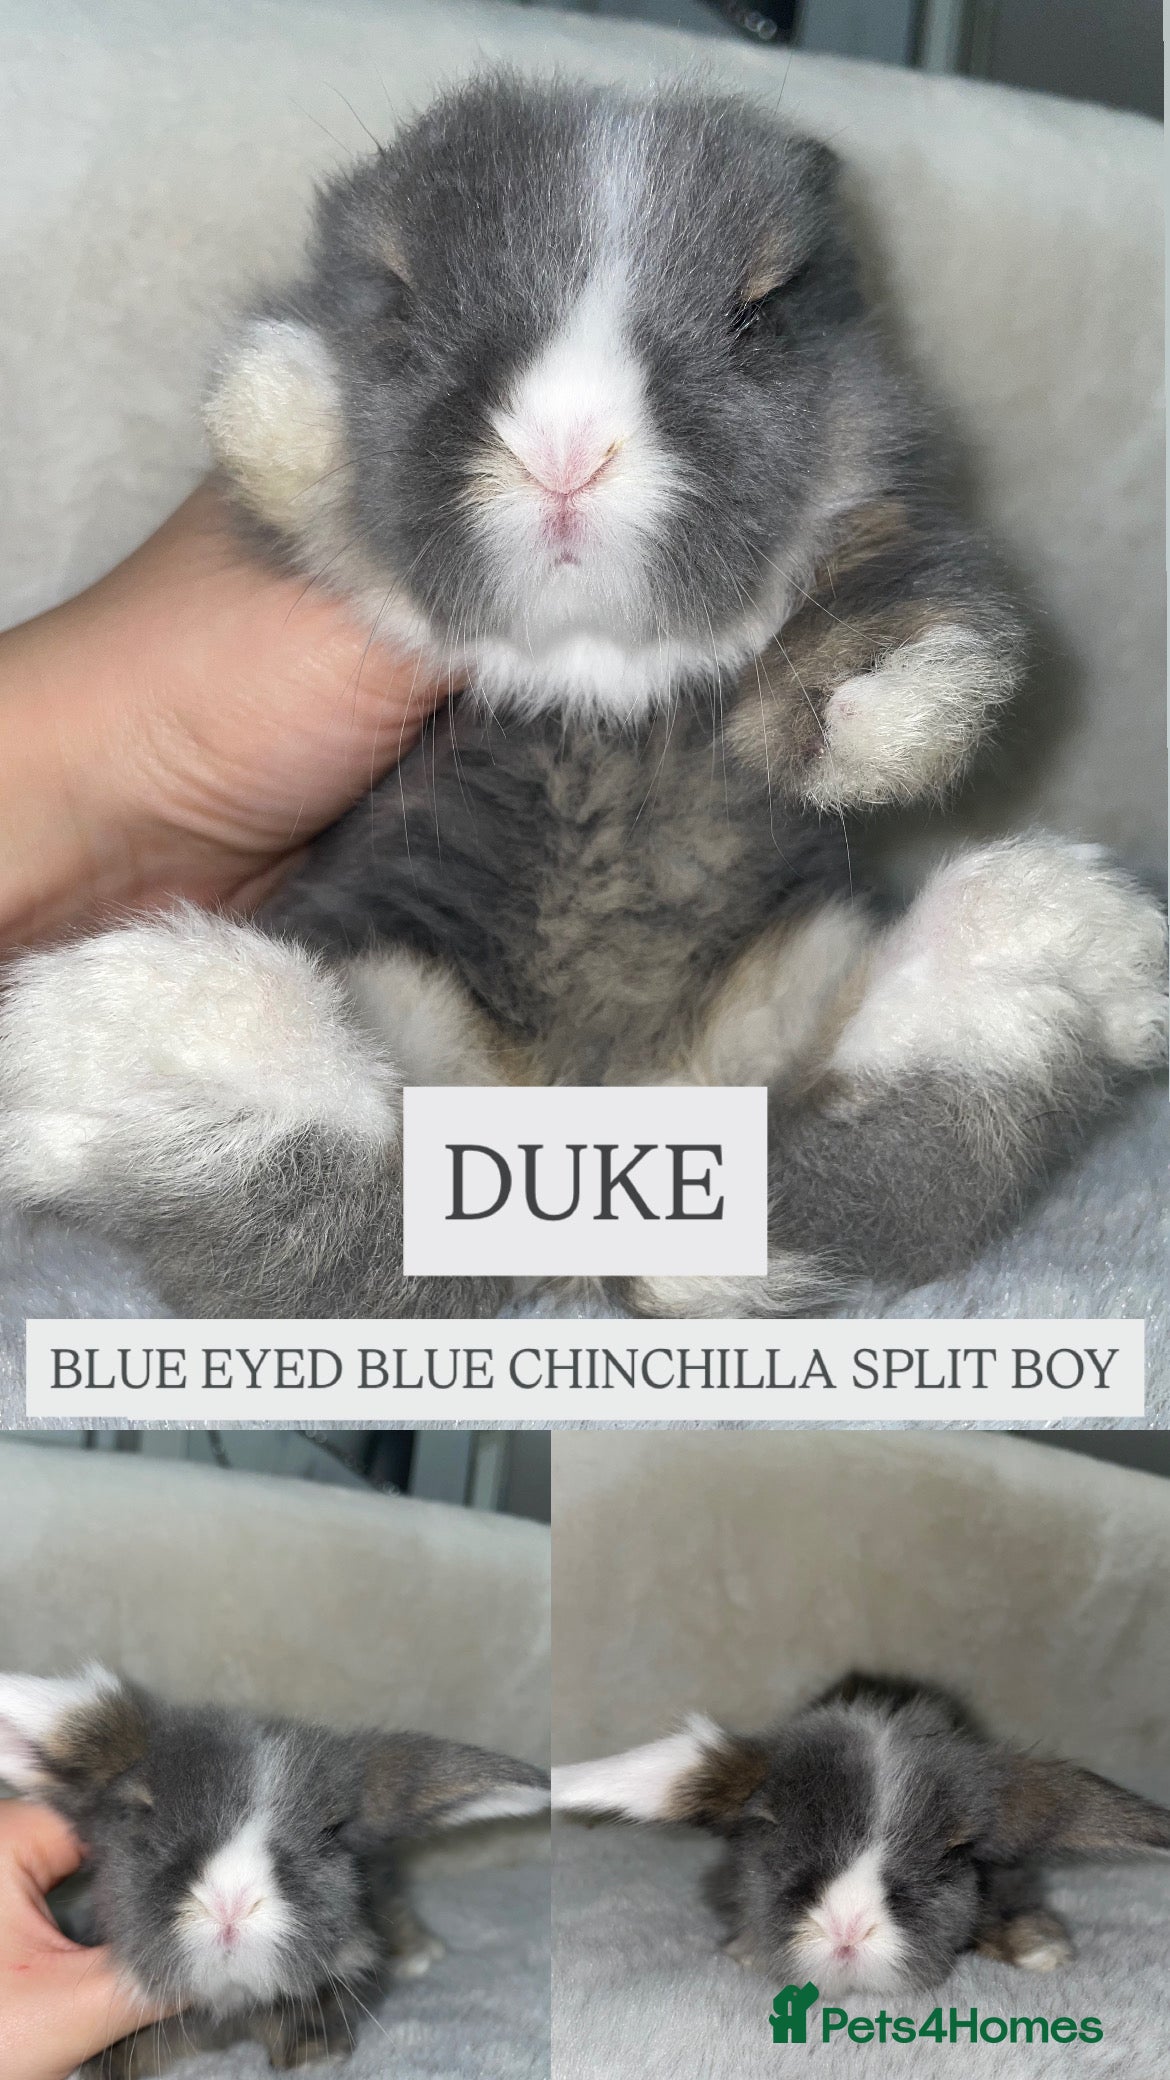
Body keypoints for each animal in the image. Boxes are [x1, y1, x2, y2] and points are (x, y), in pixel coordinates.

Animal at [0, 74, 1164, 1318]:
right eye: (398, 306)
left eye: (759, 317)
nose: (565, 448)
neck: (591, 666)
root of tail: (591, 1170)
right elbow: (302, 488)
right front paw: (286, 400)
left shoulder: (887, 524)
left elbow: (930, 604)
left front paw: (875, 726)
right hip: (401, 1010)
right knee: (331, 1194)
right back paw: (123, 1040)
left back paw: (1067, 941)